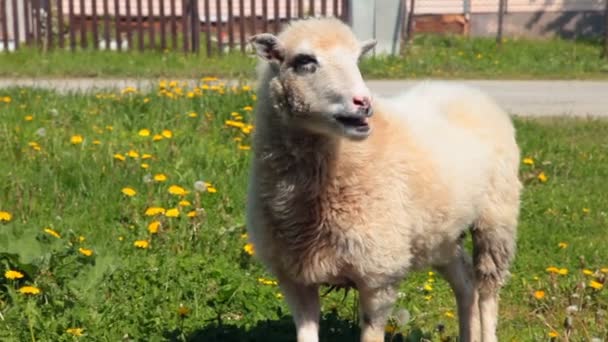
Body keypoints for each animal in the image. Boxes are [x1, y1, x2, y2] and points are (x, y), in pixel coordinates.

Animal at [245, 16, 520, 342]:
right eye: (305, 61)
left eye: (357, 60)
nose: (364, 102)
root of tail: (467, 90)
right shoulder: (295, 276)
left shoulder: (378, 274)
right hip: (440, 233)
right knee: (465, 282)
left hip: (497, 218)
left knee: (488, 290)